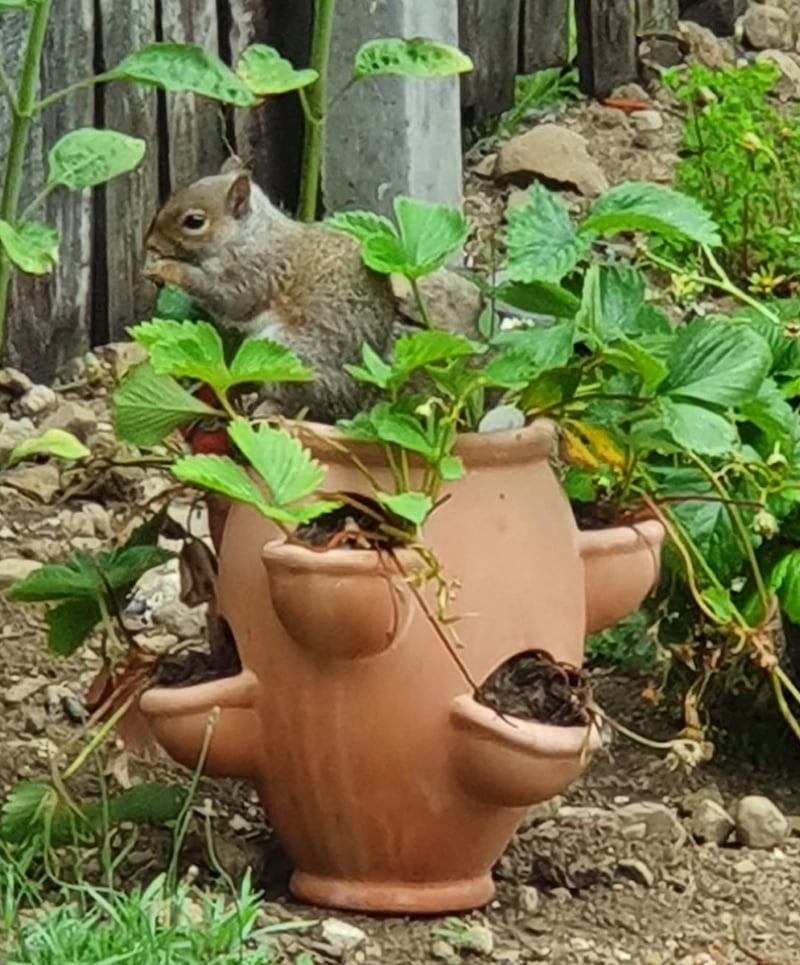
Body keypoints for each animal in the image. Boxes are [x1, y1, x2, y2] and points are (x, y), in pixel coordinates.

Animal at [142, 158, 399, 423]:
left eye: (194, 221)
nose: (150, 243)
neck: (250, 235)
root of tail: (354, 403)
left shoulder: (256, 274)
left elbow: (228, 299)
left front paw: (166, 268)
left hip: (294, 356)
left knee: (304, 405)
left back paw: (268, 409)